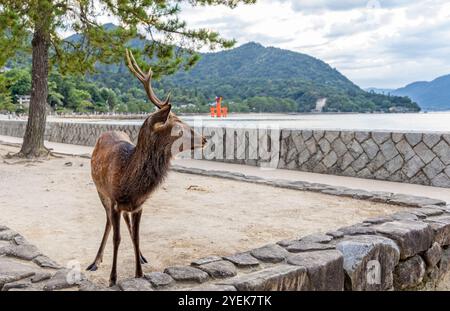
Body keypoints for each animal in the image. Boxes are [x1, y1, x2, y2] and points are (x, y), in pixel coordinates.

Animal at [87, 50, 207, 286]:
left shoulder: (139, 205)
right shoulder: (114, 200)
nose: (205, 138)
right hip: (100, 191)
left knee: (125, 224)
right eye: (179, 128)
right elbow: (117, 238)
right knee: (108, 222)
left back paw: (141, 257)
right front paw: (113, 278)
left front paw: (139, 273)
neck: (129, 179)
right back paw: (95, 261)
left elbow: (136, 236)